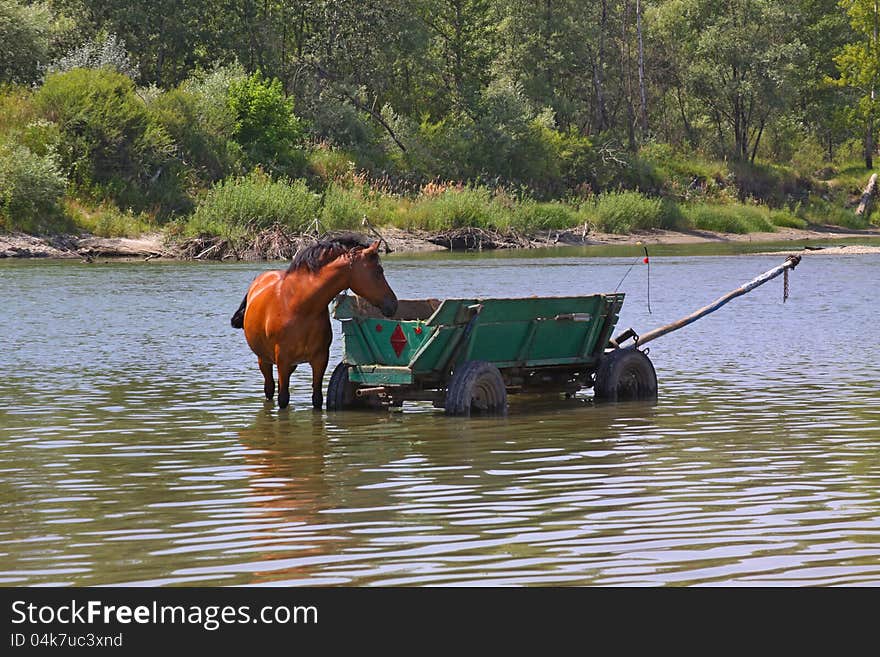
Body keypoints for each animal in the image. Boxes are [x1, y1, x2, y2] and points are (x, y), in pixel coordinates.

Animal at [234, 236, 398, 408]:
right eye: (378, 271)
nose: (393, 304)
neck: (300, 306)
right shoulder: (283, 361)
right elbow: (283, 399)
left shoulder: (320, 359)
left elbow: (317, 398)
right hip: (264, 360)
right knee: (269, 389)